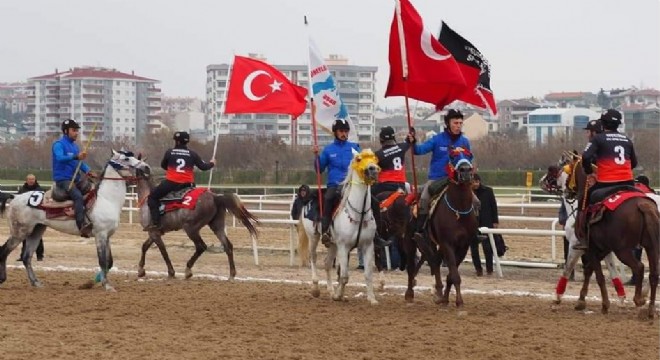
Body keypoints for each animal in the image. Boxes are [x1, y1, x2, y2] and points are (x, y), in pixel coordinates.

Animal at [0, 148, 149, 292]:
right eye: (126, 158)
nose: (146, 167)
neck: (106, 199)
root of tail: (14, 197)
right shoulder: (100, 235)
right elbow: (102, 261)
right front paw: (106, 285)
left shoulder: (107, 236)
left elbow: (109, 262)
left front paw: (96, 282)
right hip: (20, 232)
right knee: (4, 251)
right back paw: (3, 278)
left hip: (36, 231)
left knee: (26, 257)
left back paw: (36, 282)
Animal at [300, 148, 382, 304]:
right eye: (359, 159)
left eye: (375, 159)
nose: (373, 169)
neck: (359, 213)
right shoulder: (344, 247)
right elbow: (344, 276)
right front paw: (339, 295)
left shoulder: (368, 245)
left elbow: (368, 274)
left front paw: (372, 299)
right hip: (313, 237)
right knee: (313, 257)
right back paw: (316, 288)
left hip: (333, 244)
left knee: (326, 263)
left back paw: (331, 290)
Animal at [404, 148, 476, 308]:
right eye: (452, 156)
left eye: (469, 155)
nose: (465, 171)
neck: (458, 210)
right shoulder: (447, 243)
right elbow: (454, 274)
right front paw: (458, 301)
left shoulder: (463, 246)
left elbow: (451, 274)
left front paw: (445, 298)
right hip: (411, 241)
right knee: (412, 266)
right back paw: (410, 293)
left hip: (432, 243)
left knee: (434, 262)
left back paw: (438, 292)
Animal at [540, 155, 628, 304]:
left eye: (553, 169)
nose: (541, 181)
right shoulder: (602, 248)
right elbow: (611, 270)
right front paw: (621, 297)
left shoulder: (576, 246)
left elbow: (568, 268)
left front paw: (558, 296)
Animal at [564, 153, 656, 316]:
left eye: (569, 172)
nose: (567, 190)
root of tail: (642, 205)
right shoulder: (604, 248)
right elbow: (589, 270)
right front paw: (581, 300)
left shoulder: (591, 248)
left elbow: (598, 275)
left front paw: (605, 304)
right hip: (651, 247)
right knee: (654, 275)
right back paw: (650, 309)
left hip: (623, 250)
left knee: (639, 267)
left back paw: (638, 299)